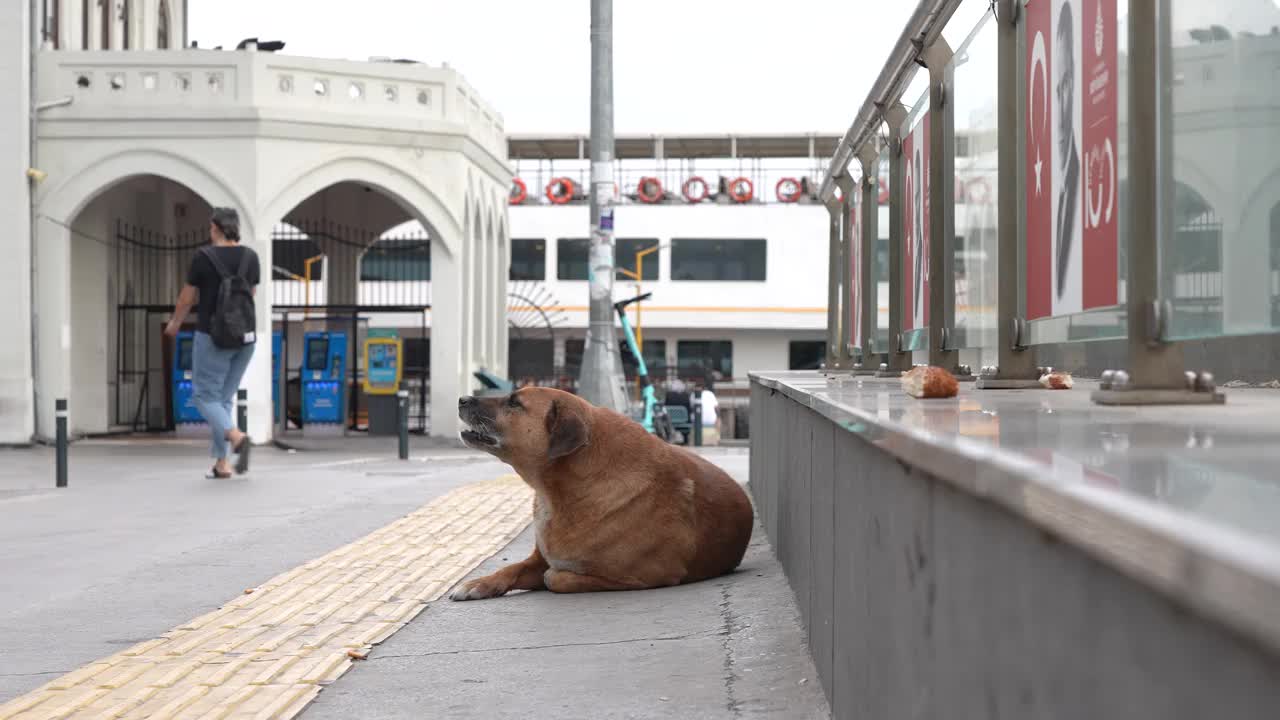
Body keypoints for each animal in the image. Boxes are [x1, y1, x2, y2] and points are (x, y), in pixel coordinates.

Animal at [450, 384, 752, 597]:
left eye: (515, 402)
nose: (462, 399)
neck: (558, 493)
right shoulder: (536, 559)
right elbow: (511, 567)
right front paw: (480, 583)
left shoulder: (645, 575)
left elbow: (556, 578)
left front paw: (555, 577)